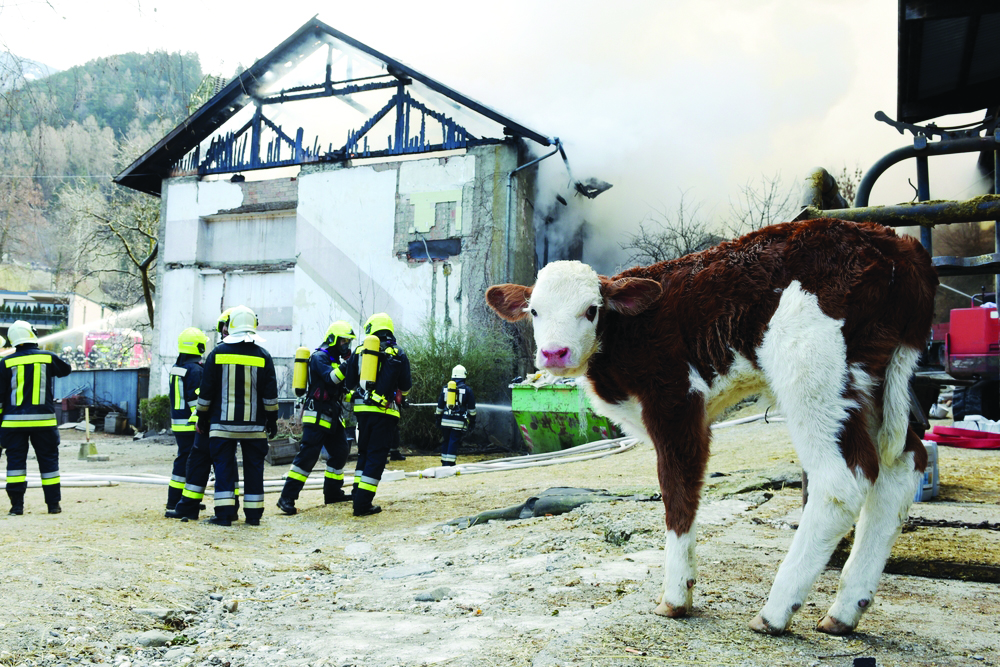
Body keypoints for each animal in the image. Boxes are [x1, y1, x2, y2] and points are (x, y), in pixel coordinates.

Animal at [488, 219, 940, 636]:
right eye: (534, 311)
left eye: (591, 309)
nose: (554, 353)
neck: (625, 333)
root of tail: (891, 242)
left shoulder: (676, 405)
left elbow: (678, 494)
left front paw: (675, 597)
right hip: (875, 381)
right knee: (903, 465)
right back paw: (845, 610)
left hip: (811, 371)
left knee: (841, 481)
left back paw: (776, 612)